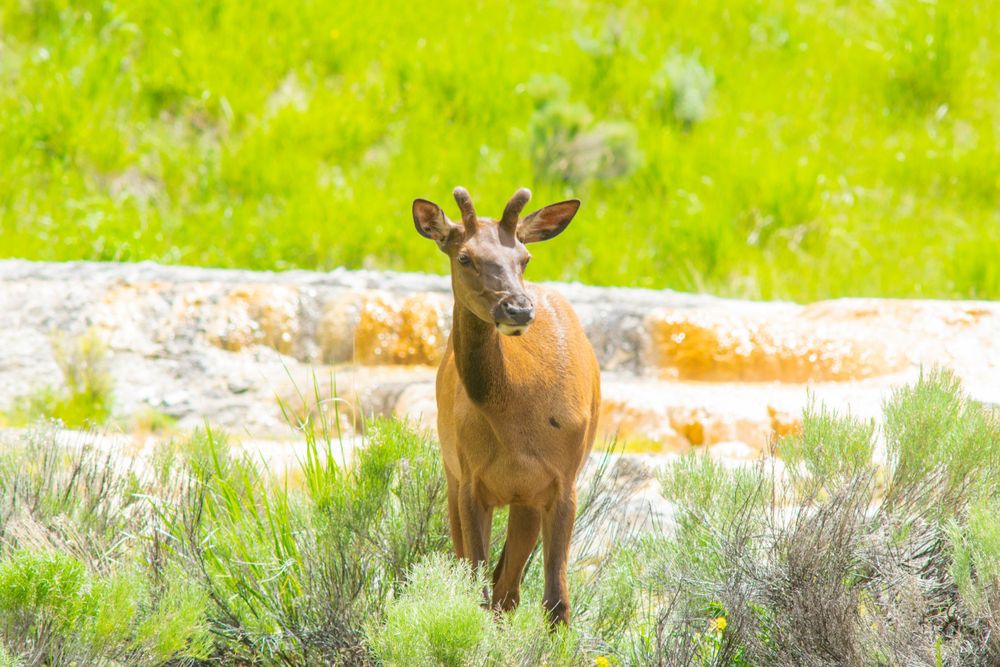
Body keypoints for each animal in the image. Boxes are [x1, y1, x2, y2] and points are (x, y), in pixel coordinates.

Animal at [411, 186, 601, 626]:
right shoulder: (470, 479)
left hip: (526, 499)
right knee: (488, 581)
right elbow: (475, 588)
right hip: (451, 472)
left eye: (524, 258)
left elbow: (556, 601)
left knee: (508, 589)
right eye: (464, 256)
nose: (518, 308)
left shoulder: (563, 481)